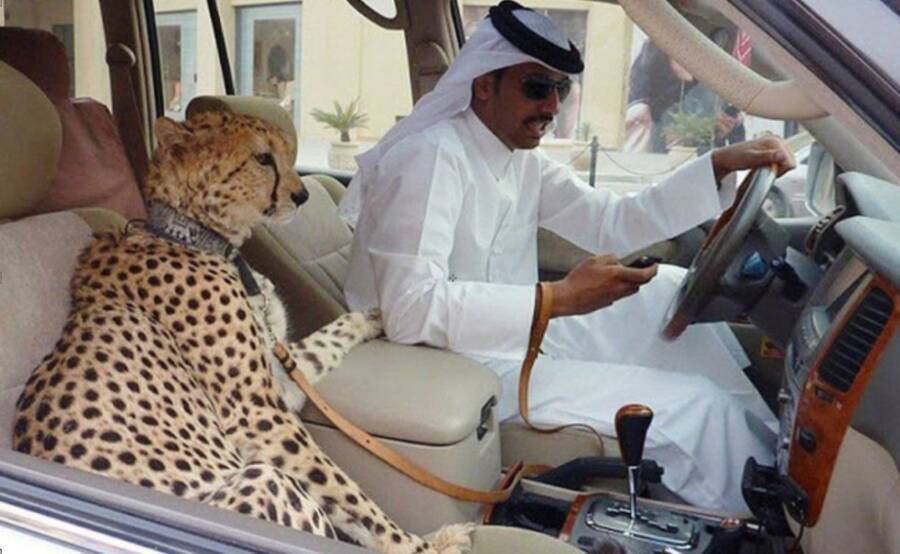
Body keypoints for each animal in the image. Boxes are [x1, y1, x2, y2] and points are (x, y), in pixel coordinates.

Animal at [12, 110, 472, 548]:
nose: (302, 195)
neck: (192, 234)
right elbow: (348, 491)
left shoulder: (280, 376)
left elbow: (329, 338)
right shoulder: (256, 412)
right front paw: (418, 546)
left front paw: (376, 316)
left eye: (286, 152)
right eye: (262, 158)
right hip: (262, 478)